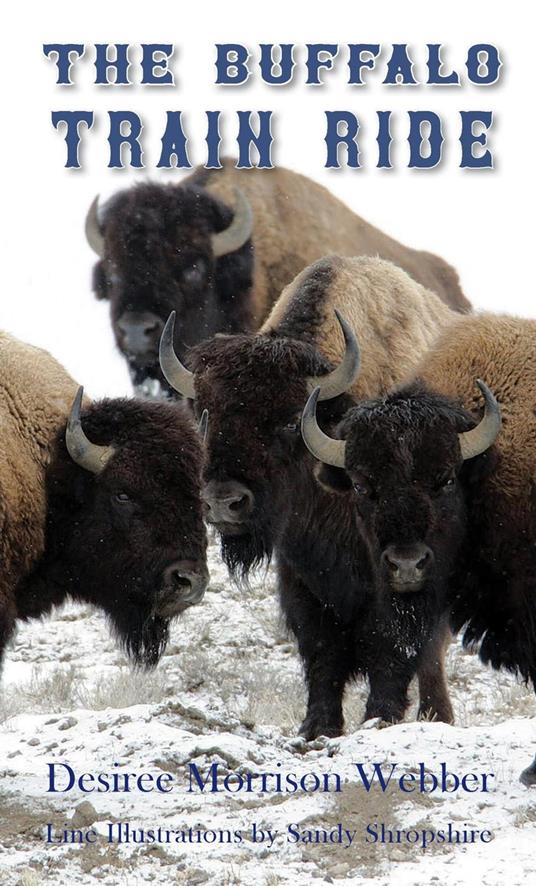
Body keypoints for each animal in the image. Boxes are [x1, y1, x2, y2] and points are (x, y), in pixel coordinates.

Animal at [159, 256, 459, 736]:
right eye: (207, 414)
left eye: (287, 421)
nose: (223, 502)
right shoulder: (301, 575)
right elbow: (321, 651)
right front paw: (317, 727)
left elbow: (391, 646)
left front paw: (379, 718)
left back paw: (437, 716)